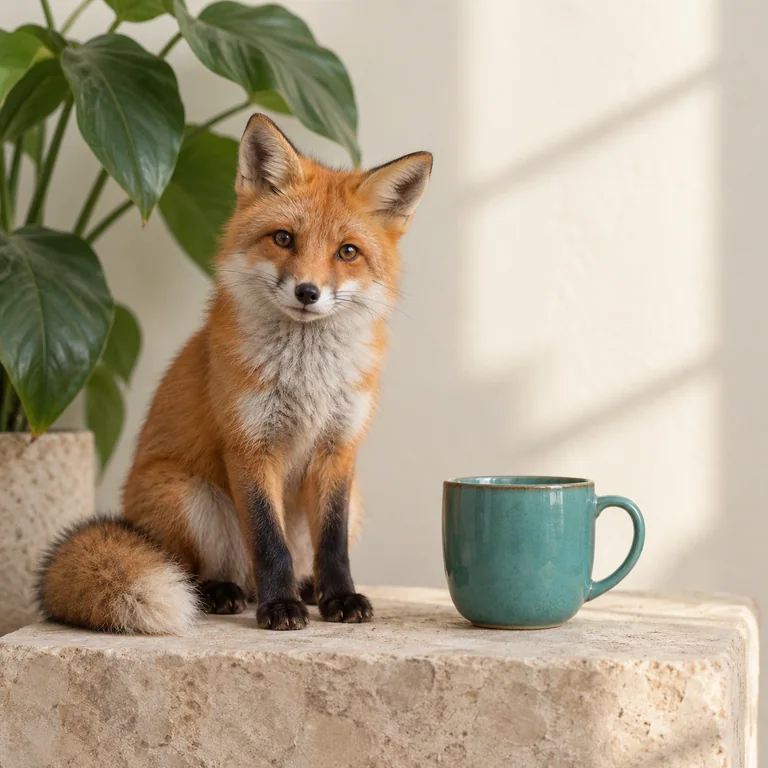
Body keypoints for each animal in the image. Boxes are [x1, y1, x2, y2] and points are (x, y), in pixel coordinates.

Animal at [37, 114, 432, 634]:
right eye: (283, 238)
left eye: (347, 252)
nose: (308, 292)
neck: (307, 379)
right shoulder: (249, 445)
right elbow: (268, 540)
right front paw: (279, 607)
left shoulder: (338, 450)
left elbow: (333, 544)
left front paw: (340, 597)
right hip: (188, 495)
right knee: (204, 570)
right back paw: (225, 593)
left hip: (354, 498)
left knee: (297, 560)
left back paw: (308, 589)